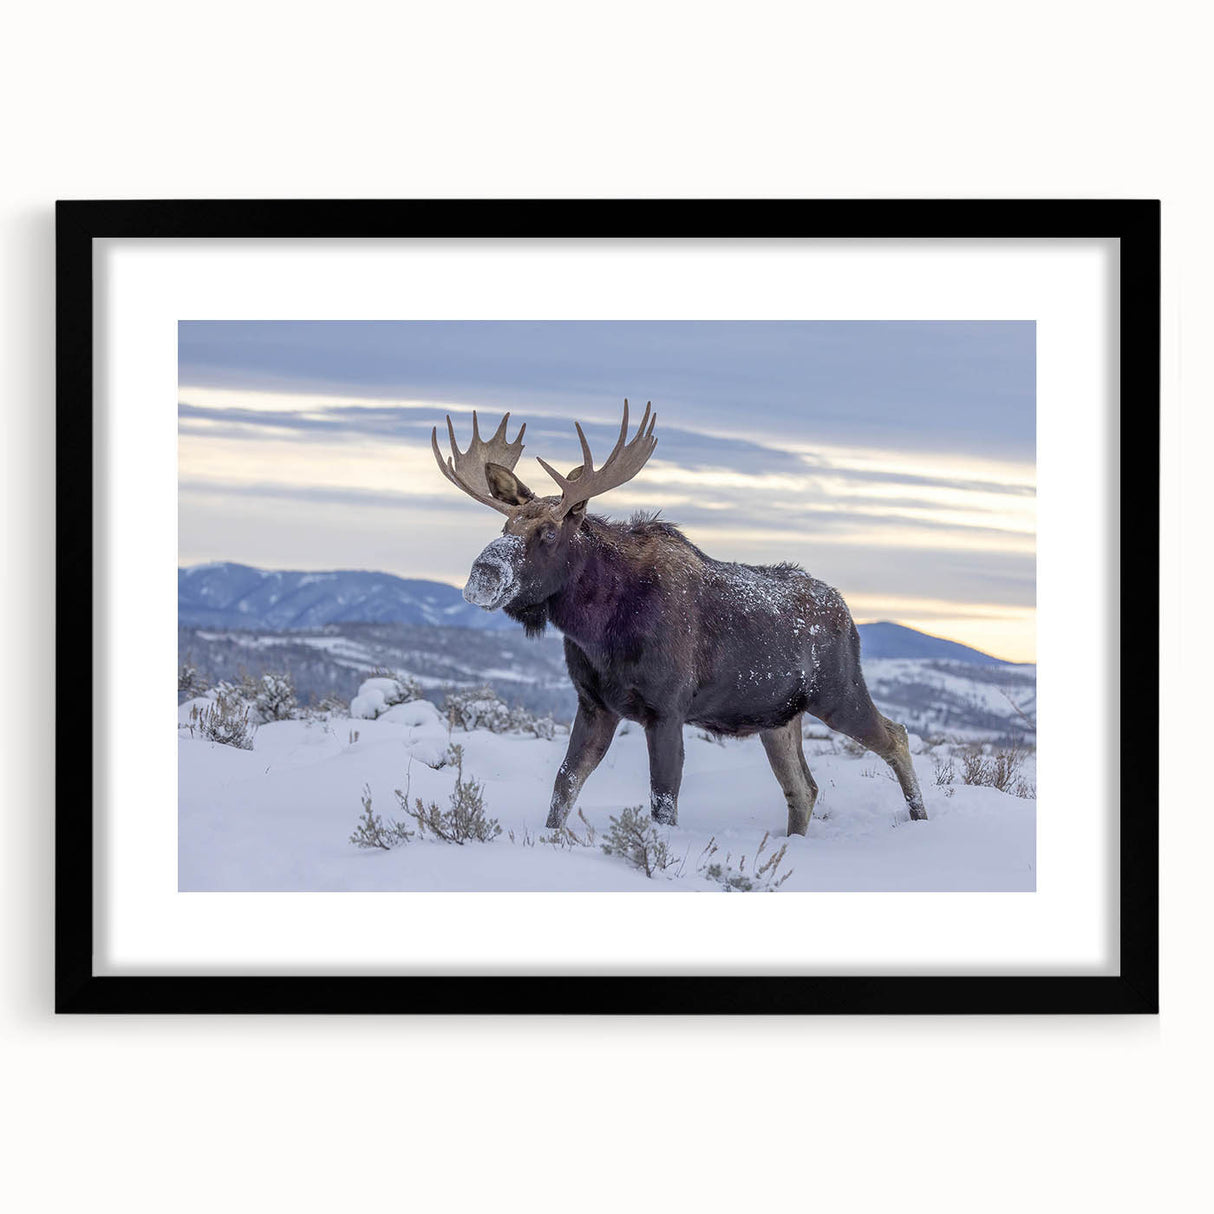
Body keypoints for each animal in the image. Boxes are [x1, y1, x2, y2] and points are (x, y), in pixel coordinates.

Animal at [431, 401, 927, 836]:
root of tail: (848, 615)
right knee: (804, 789)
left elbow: (663, 802)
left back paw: (920, 822)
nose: (482, 574)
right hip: (779, 717)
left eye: (549, 532)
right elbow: (564, 785)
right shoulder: (594, 704)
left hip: (839, 692)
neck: (597, 627)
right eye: (505, 527)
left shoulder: (666, 710)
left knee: (897, 736)